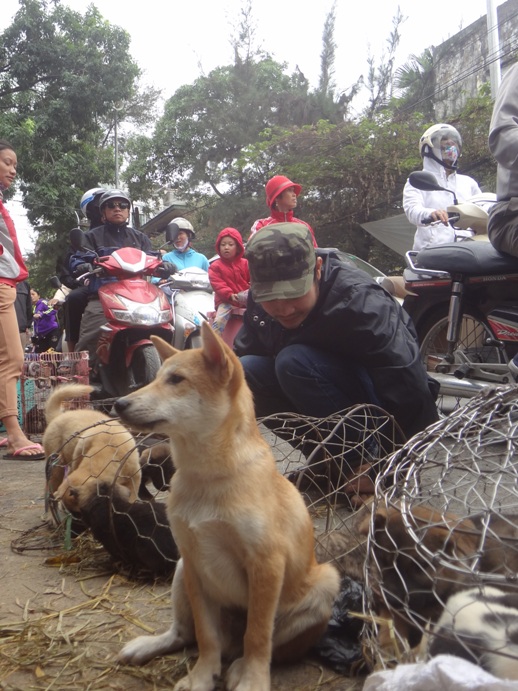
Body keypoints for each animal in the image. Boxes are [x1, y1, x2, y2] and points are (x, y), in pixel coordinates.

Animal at [115, 324, 342, 691]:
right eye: (157, 378)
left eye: (176, 379)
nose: (119, 403)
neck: (207, 476)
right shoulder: (194, 562)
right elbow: (206, 636)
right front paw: (202, 676)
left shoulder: (266, 563)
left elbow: (258, 635)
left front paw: (252, 679)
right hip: (180, 572)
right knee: (187, 634)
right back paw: (152, 645)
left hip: (325, 584)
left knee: (262, 646)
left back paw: (239, 667)